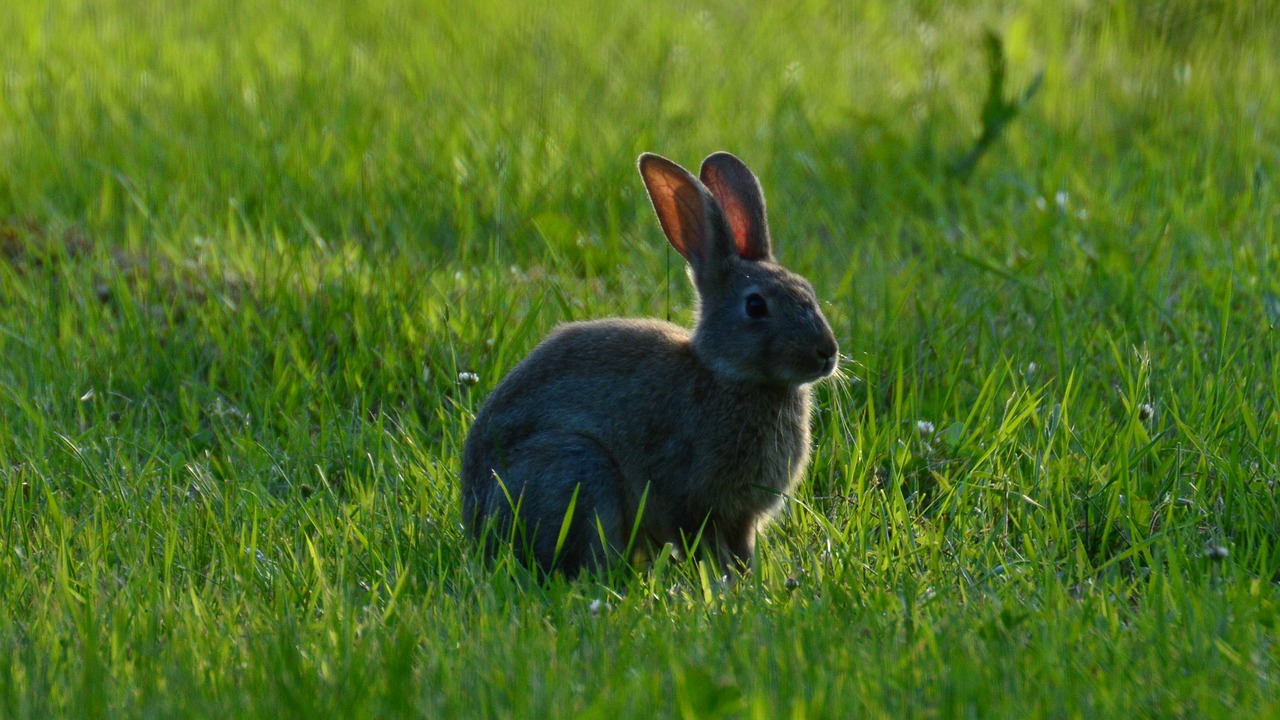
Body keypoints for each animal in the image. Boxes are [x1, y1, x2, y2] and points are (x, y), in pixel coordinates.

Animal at [460, 151, 839, 576]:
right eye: (756, 306)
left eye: (808, 291)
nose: (827, 351)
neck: (725, 374)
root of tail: (475, 521)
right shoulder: (689, 495)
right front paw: (726, 582)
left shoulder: (742, 517)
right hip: (577, 468)